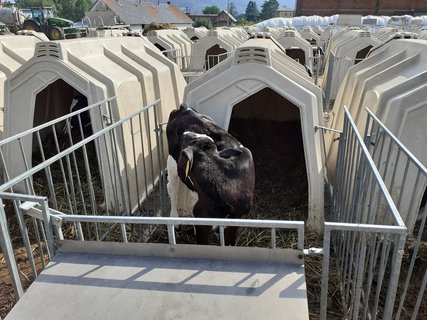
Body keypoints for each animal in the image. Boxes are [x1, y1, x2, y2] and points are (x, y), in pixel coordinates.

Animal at [166, 105, 254, 245]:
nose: (185, 133)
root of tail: (185, 108)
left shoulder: (235, 219)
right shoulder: (202, 217)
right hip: (172, 163)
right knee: (172, 188)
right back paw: (175, 220)